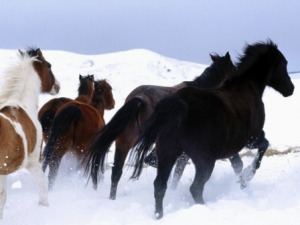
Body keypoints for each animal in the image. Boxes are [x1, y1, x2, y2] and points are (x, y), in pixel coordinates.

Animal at [0, 48, 60, 219]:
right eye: (49, 65)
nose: (58, 86)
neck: (23, 105)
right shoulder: (33, 162)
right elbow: (42, 185)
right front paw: (44, 206)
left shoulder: (4, 170)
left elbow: (3, 197)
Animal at [130, 40, 294, 218]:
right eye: (284, 64)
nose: (291, 88)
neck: (247, 87)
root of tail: (181, 104)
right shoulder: (251, 139)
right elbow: (262, 148)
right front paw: (246, 177)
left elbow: (239, 164)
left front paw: (242, 182)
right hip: (204, 161)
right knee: (195, 188)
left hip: (168, 153)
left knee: (160, 185)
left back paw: (159, 216)